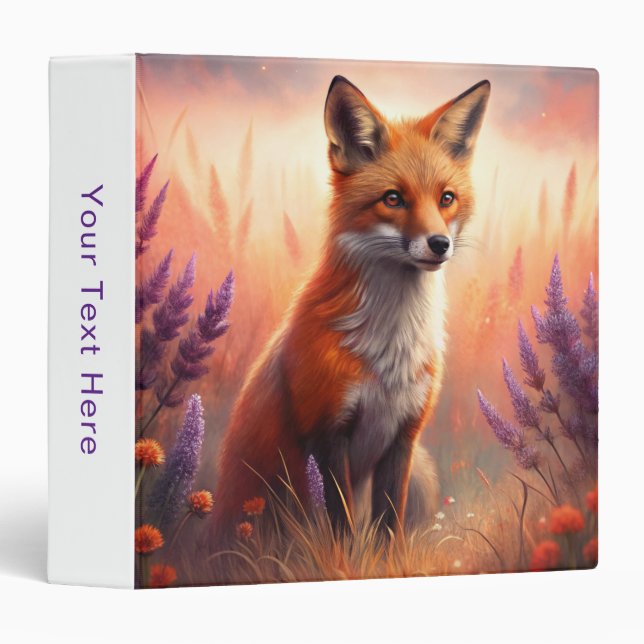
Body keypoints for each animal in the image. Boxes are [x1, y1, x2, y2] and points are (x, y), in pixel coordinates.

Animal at [211, 75, 490, 547]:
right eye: (393, 199)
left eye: (446, 198)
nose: (439, 244)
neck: (391, 352)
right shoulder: (327, 432)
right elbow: (341, 526)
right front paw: (344, 559)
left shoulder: (404, 435)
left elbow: (389, 525)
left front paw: (388, 558)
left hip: (422, 471)